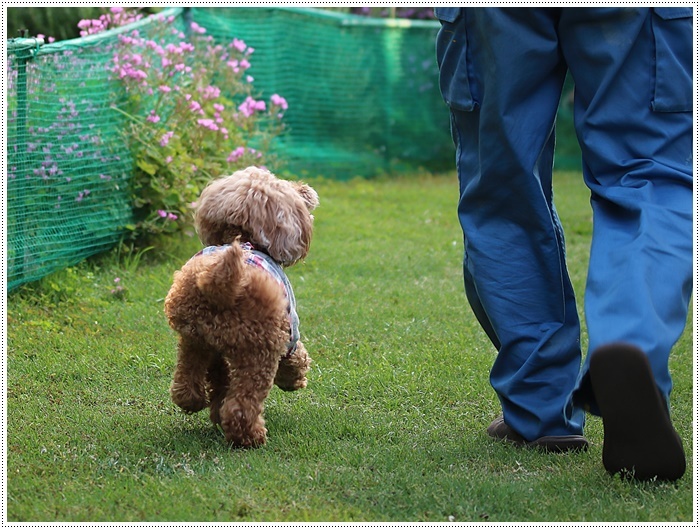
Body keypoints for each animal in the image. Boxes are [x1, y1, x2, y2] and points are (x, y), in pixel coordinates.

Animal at [163, 165, 318, 446]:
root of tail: (221, 283)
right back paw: (250, 437)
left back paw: (196, 402)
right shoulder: (289, 332)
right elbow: (296, 357)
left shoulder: (215, 351)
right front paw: (294, 380)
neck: (244, 238)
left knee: (186, 381)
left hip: (194, 338)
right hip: (259, 351)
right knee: (242, 404)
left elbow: (219, 381)